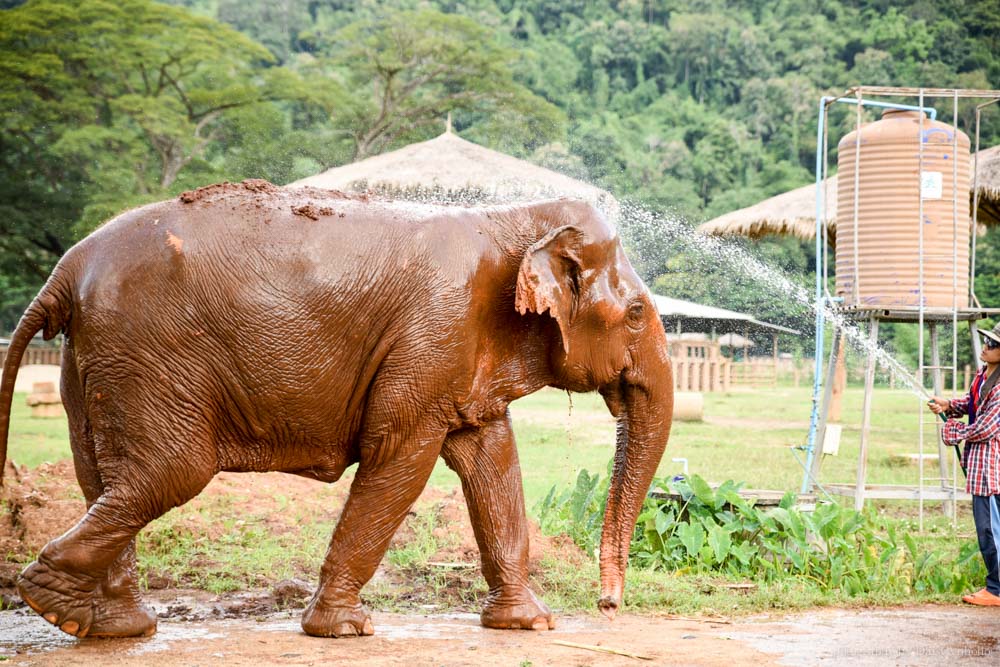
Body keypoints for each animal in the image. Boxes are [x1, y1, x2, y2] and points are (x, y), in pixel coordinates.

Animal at [0, 180, 676, 640]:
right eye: (636, 313)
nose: (609, 605)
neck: (512, 218)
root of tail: (66, 270)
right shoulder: (433, 334)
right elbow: (400, 456)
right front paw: (344, 630)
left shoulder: (459, 354)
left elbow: (491, 459)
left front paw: (529, 624)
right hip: (147, 354)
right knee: (168, 472)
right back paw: (51, 601)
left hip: (92, 361)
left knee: (102, 477)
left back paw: (109, 627)